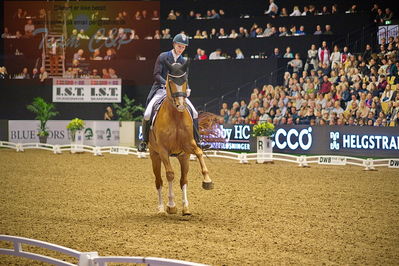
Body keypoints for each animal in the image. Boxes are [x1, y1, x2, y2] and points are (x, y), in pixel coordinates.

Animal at [148, 59, 217, 216]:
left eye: (185, 80)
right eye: (170, 81)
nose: (180, 105)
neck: (176, 116)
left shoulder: (188, 145)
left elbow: (199, 153)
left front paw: (207, 181)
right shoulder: (163, 151)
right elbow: (170, 175)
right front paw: (171, 205)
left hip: (183, 156)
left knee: (183, 179)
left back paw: (185, 208)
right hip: (154, 155)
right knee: (159, 181)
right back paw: (161, 208)